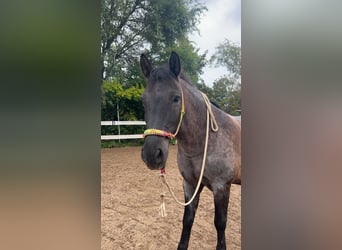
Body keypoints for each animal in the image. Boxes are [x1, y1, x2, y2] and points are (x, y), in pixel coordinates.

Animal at [139, 51, 240, 250]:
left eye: (176, 98)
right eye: (143, 101)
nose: (152, 155)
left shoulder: (221, 187)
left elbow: (220, 223)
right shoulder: (190, 184)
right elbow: (187, 220)